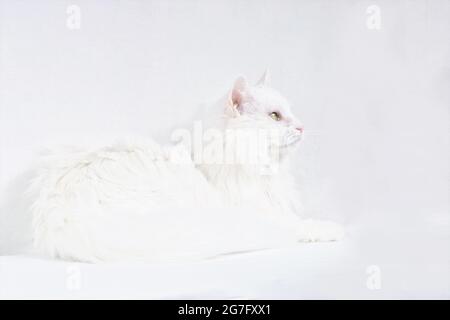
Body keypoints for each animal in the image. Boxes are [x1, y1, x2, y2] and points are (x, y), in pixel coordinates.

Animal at [29, 72, 344, 262]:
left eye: (290, 113)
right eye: (275, 116)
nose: (302, 127)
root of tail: (54, 216)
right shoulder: (264, 213)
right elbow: (304, 225)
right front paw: (335, 229)